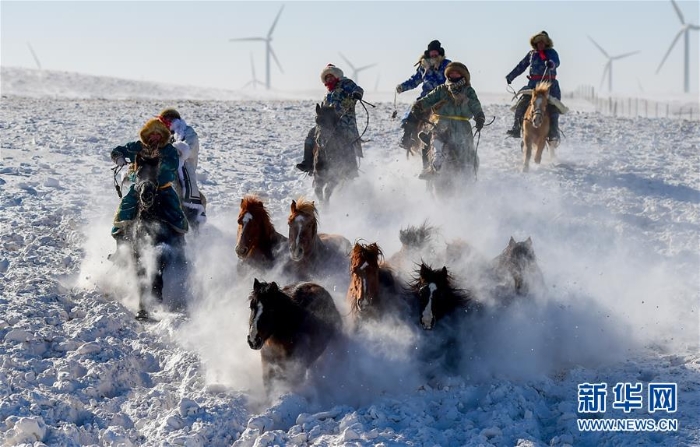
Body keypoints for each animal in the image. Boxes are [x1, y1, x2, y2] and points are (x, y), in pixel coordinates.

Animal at [127, 155, 185, 322]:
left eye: (156, 174)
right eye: (138, 174)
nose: (146, 195)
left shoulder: (165, 246)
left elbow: (159, 260)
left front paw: (156, 293)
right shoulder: (136, 252)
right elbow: (140, 277)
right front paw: (141, 311)